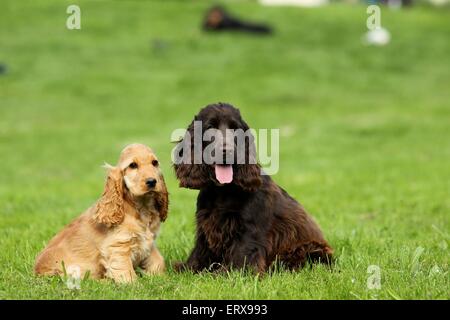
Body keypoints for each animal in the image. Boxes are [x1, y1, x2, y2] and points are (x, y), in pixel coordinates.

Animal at [34, 144, 169, 282]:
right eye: (133, 165)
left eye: (155, 163)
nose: (152, 181)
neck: (141, 207)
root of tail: (36, 271)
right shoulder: (118, 246)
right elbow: (125, 270)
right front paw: (134, 284)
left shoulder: (149, 242)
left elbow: (158, 260)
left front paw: (159, 277)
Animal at [174, 103, 332, 272]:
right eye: (210, 127)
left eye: (235, 129)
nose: (227, 151)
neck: (222, 191)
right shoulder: (206, 227)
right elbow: (200, 252)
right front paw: (188, 268)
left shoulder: (248, 230)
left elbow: (241, 257)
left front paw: (224, 273)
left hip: (308, 249)